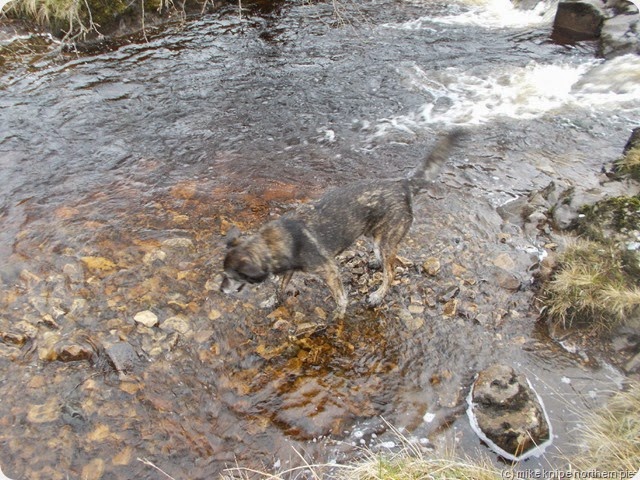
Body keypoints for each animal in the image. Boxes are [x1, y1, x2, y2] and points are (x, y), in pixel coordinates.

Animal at [220, 130, 460, 318]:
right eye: (224, 275)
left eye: (231, 277)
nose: (221, 291)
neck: (272, 244)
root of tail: (403, 184)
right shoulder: (288, 271)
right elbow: (279, 288)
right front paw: (272, 301)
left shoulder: (330, 271)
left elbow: (341, 299)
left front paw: (337, 317)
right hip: (373, 234)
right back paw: (376, 263)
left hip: (386, 239)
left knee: (391, 273)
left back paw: (377, 295)